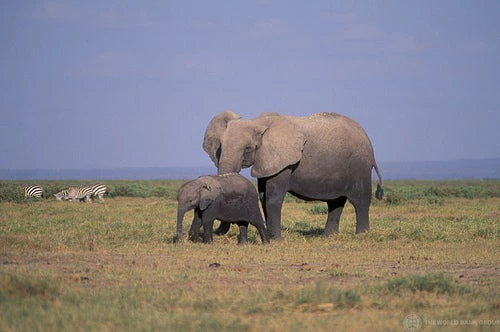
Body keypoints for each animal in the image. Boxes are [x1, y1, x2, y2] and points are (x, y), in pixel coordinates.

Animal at [203, 111, 382, 239]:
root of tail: (370, 143)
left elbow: (273, 197)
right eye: (220, 147)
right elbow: (262, 196)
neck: (259, 122)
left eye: (248, 148)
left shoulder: (284, 161)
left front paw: (274, 240)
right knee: (335, 202)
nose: (217, 233)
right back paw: (328, 237)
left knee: (359, 199)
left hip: (359, 164)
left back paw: (362, 235)